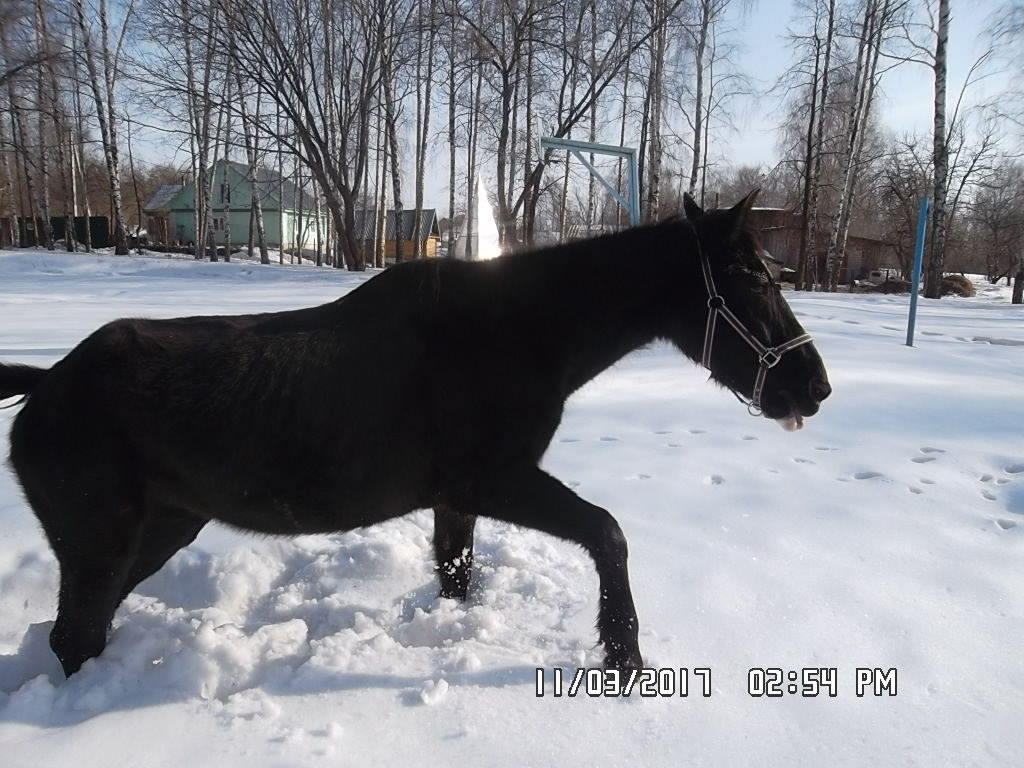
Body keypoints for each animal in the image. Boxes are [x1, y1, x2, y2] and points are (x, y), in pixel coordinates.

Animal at [0, 191, 831, 679]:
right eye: (753, 278)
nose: (815, 387)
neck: (523, 333)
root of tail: (44, 384)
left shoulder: (455, 500)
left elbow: (457, 576)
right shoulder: (491, 479)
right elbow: (609, 532)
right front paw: (624, 657)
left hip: (161, 530)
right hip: (104, 545)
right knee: (75, 637)